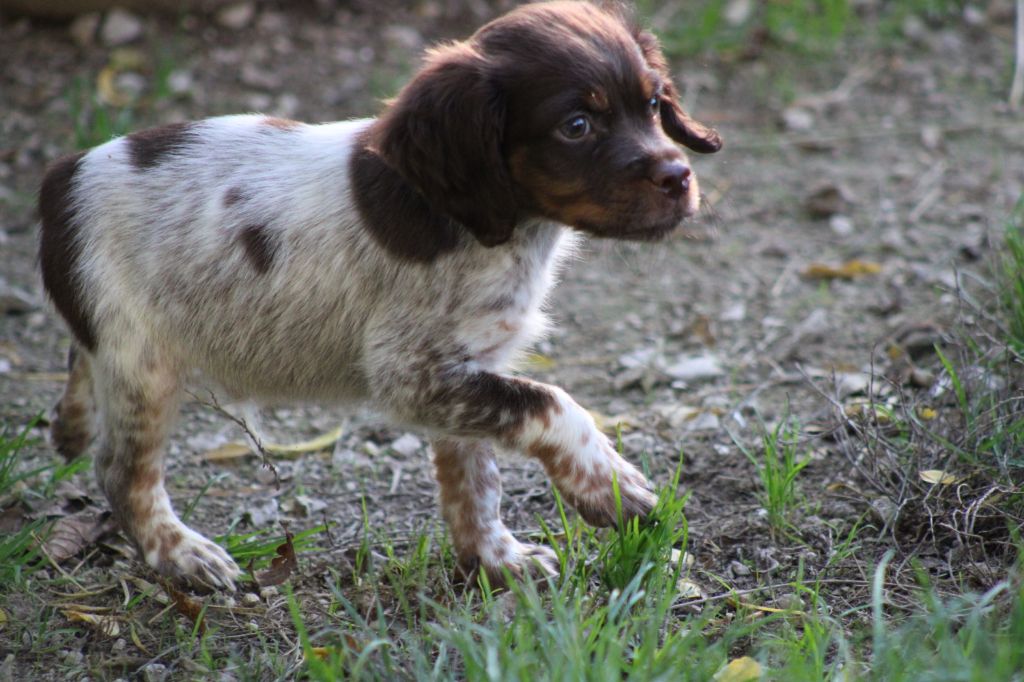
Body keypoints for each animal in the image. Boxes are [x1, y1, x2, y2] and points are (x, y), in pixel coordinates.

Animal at [37, 0, 720, 585]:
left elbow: (475, 480)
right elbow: (553, 405)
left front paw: (497, 561)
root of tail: (65, 172)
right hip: (143, 362)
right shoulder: (413, 373)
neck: (478, 223)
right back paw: (180, 554)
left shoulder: (464, 373)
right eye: (576, 126)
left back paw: (72, 421)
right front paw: (612, 488)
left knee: (80, 358)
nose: (679, 177)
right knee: (122, 472)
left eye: (654, 104)